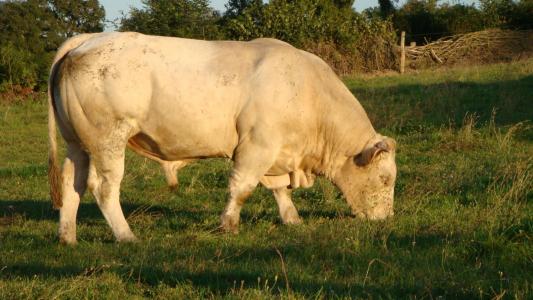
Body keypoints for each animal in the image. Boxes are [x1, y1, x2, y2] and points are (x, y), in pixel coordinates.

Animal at [48, 32, 394, 244]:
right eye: (386, 179)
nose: (386, 219)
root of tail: (91, 38)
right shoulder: (257, 147)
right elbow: (241, 188)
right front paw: (229, 224)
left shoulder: (276, 153)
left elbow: (279, 190)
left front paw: (292, 219)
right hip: (108, 140)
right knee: (104, 187)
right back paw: (125, 235)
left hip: (77, 143)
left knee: (71, 183)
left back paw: (68, 236)